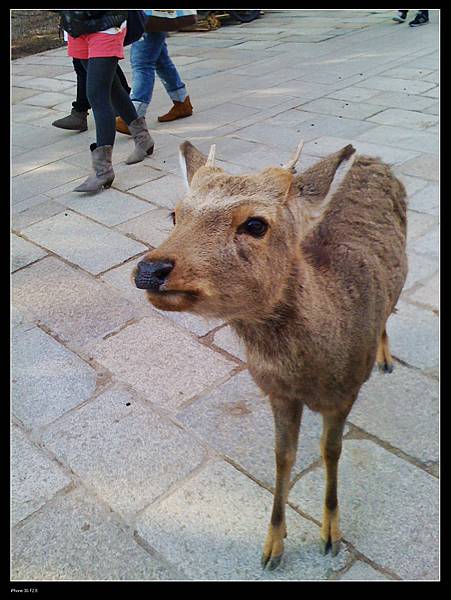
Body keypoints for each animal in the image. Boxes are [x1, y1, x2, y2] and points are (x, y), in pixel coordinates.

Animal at [132, 137, 408, 572]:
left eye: (256, 224)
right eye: (175, 215)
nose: (150, 269)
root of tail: (373, 159)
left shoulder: (345, 393)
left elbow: (331, 451)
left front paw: (331, 534)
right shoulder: (277, 393)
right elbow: (282, 457)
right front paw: (273, 544)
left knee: (390, 309)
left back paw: (384, 356)